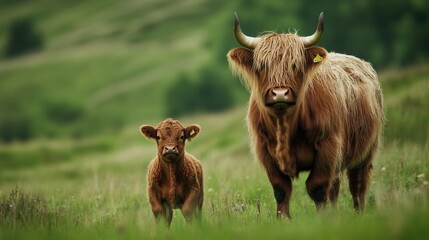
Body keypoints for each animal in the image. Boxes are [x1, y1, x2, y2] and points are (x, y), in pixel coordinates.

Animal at [227, 13, 384, 219]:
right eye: (262, 66)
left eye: (295, 65)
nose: (280, 93)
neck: (284, 125)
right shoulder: (266, 153)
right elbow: (281, 190)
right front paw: (283, 219)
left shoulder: (328, 147)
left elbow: (317, 188)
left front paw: (323, 218)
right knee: (335, 187)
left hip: (366, 151)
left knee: (357, 185)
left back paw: (360, 213)